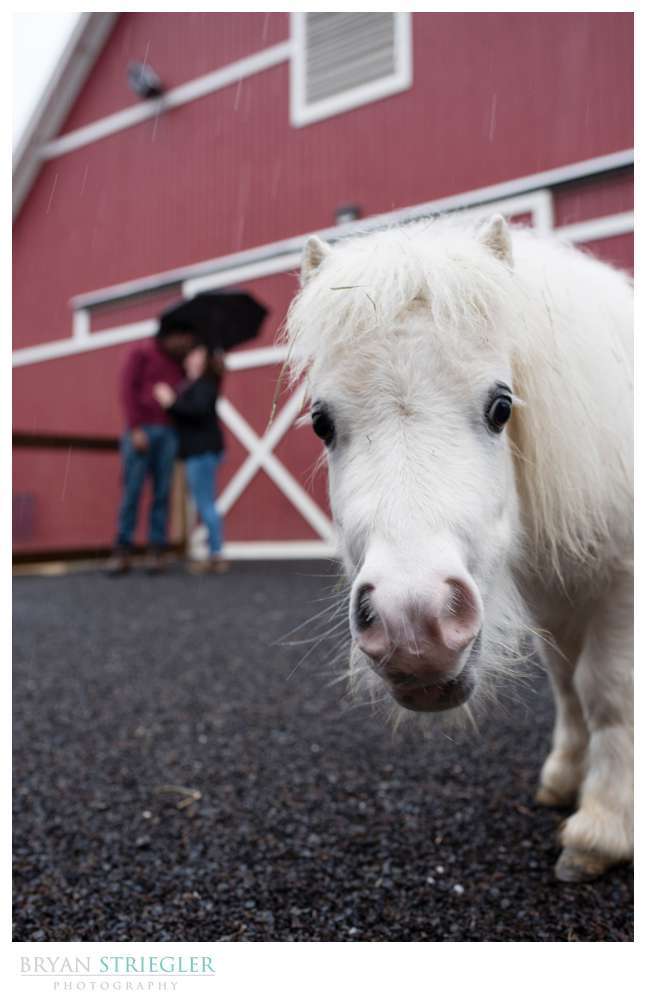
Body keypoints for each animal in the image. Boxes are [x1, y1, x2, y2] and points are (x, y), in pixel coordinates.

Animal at [284, 214, 633, 883]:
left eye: (502, 407)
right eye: (321, 422)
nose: (412, 626)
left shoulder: (622, 585)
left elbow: (610, 691)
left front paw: (603, 828)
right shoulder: (553, 591)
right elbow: (568, 683)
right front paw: (565, 780)